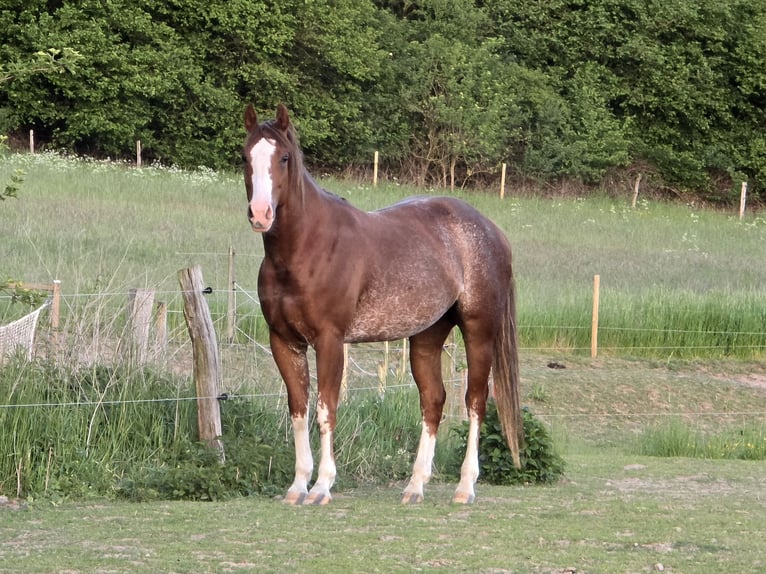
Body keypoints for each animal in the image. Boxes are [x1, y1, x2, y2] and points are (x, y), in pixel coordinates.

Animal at [242, 103, 523, 505]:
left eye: (283, 158)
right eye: (245, 157)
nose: (261, 214)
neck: (306, 249)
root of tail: (491, 229)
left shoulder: (330, 342)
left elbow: (326, 411)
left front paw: (322, 487)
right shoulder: (283, 341)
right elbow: (298, 410)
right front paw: (298, 485)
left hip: (478, 331)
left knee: (475, 401)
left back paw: (465, 487)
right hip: (426, 337)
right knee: (433, 400)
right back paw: (415, 486)